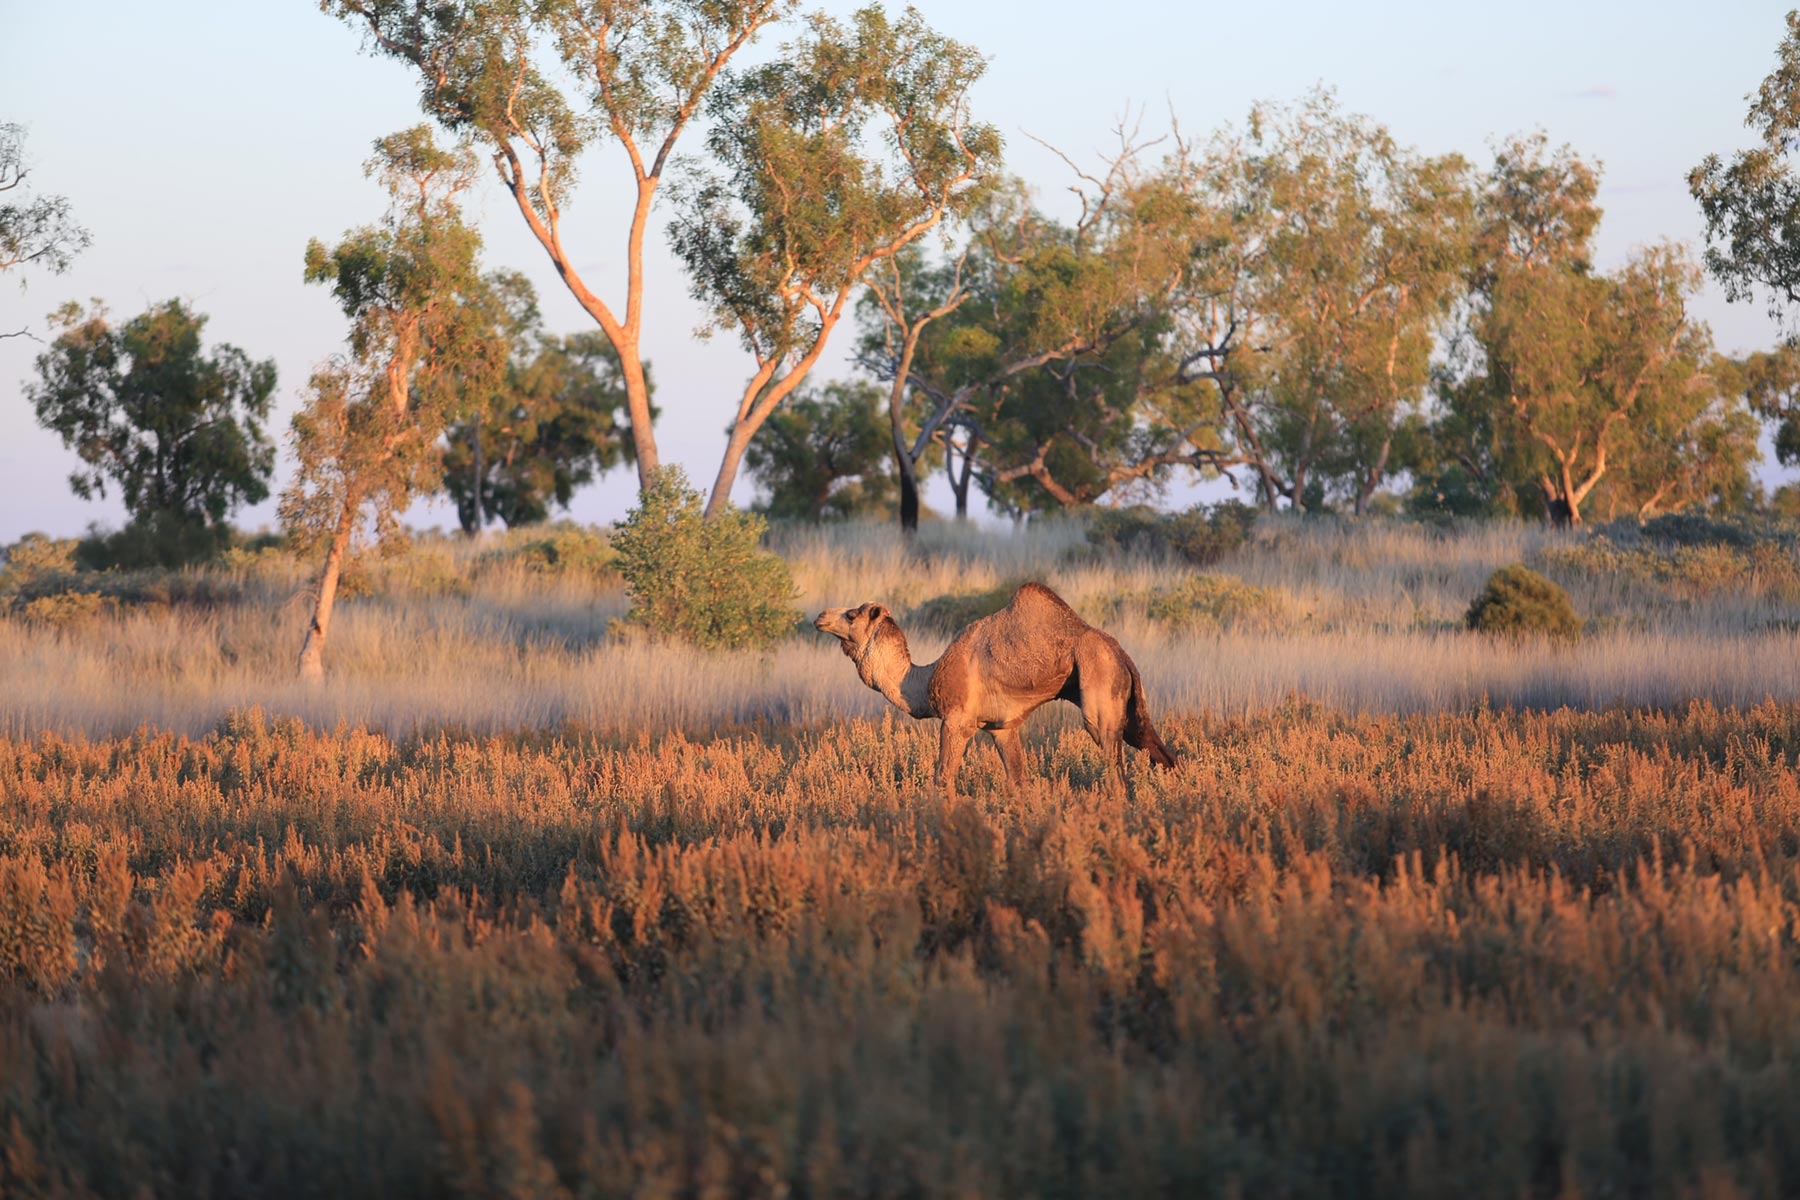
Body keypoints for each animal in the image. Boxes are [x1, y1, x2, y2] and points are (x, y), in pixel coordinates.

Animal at [817, 582, 1180, 798]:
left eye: (851, 615)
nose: (820, 616)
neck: (922, 680)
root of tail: (1121, 653)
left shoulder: (956, 720)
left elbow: (942, 778)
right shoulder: (1002, 727)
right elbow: (1019, 781)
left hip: (1098, 685)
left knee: (1114, 769)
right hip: (1132, 705)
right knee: (1159, 751)